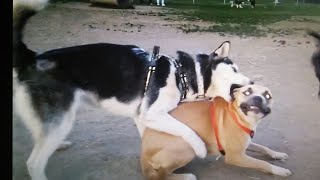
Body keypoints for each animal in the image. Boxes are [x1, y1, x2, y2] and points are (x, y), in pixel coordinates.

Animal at [140, 84, 292, 180]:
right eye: (247, 92)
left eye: (267, 95)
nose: (258, 98)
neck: (238, 115)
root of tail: (143, 155)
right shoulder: (235, 156)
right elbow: (263, 164)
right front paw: (280, 170)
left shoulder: (245, 144)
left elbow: (263, 148)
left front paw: (277, 154)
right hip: (187, 147)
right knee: (157, 176)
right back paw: (185, 176)